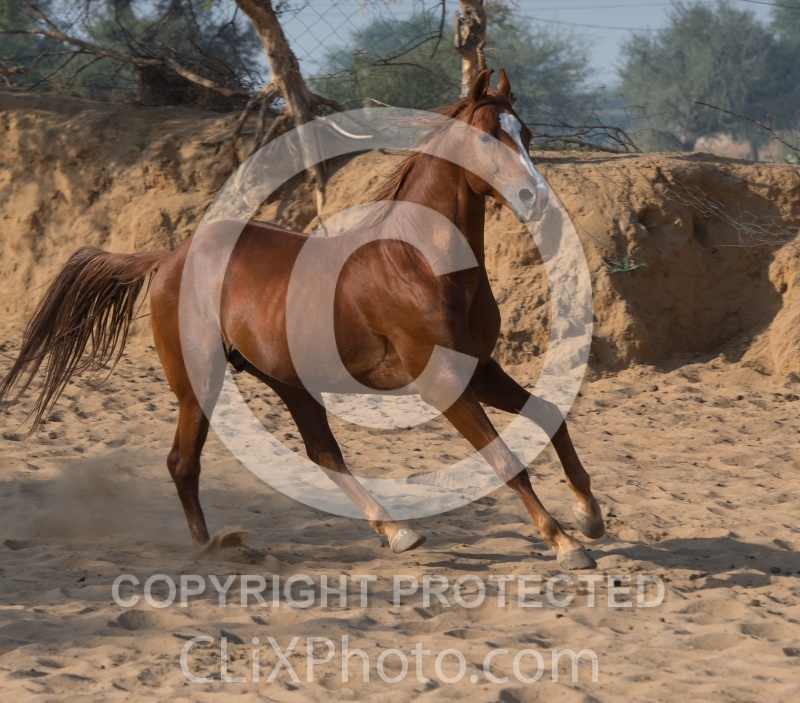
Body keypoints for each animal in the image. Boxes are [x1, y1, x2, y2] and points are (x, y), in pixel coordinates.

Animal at [0, 68, 604, 570]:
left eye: (526, 133)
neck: (420, 263)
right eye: (486, 137)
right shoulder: (442, 381)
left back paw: (397, 532)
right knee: (182, 463)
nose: (536, 197)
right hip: (200, 382)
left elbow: (550, 414)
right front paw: (565, 543)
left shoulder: (478, 367)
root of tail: (170, 256)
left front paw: (590, 516)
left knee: (323, 454)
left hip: (288, 382)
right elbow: (506, 459)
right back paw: (215, 548)